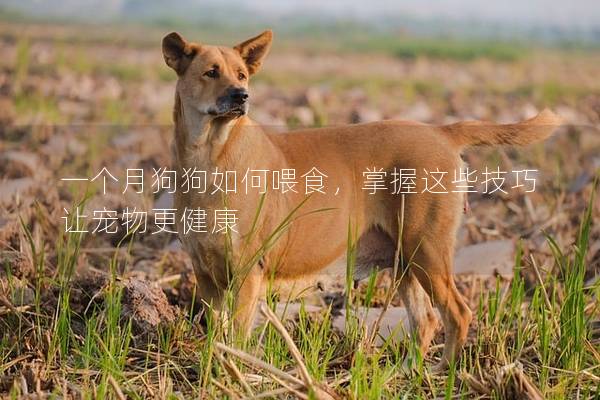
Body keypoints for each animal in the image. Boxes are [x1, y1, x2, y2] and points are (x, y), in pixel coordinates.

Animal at [161, 29, 564, 370]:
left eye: (242, 75)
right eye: (211, 72)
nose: (241, 96)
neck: (211, 153)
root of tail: (440, 131)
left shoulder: (248, 272)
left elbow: (237, 338)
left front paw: (233, 375)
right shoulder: (205, 274)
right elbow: (216, 333)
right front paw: (211, 369)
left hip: (427, 249)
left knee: (457, 313)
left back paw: (443, 374)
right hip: (405, 261)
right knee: (426, 320)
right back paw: (409, 373)